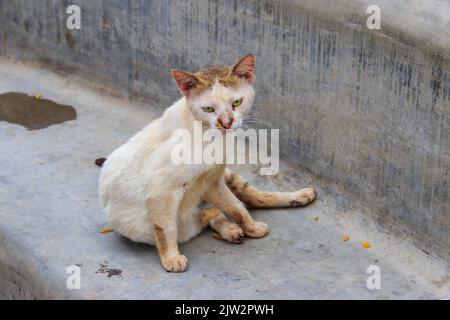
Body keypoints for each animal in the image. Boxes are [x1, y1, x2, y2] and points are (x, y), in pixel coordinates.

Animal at [98, 53, 316, 272]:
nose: (226, 123)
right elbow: (166, 229)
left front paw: (251, 227)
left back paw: (299, 196)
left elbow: (237, 207)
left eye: (237, 102)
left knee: (251, 198)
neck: (210, 138)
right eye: (208, 109)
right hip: (158, 228)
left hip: (227, 178)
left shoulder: (212, 180)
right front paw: (171, 258)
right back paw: (229, 229)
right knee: (206, 215)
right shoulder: (161, 192)